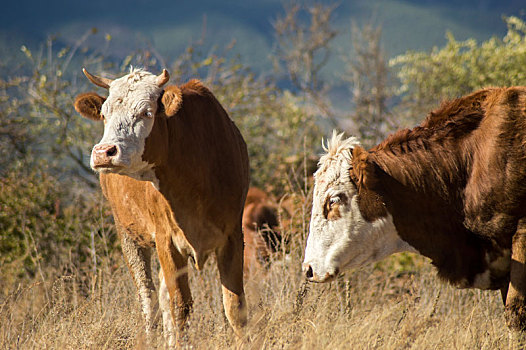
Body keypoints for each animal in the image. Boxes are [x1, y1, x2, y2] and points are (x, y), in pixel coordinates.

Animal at [73, 67, 252, 346]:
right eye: (104, 115)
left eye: (146, 112)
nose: (104, 152)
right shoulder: (166, 239)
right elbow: (180, 306)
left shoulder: (233, 235)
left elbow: (235, 307)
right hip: (129, 234)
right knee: (150, 300)